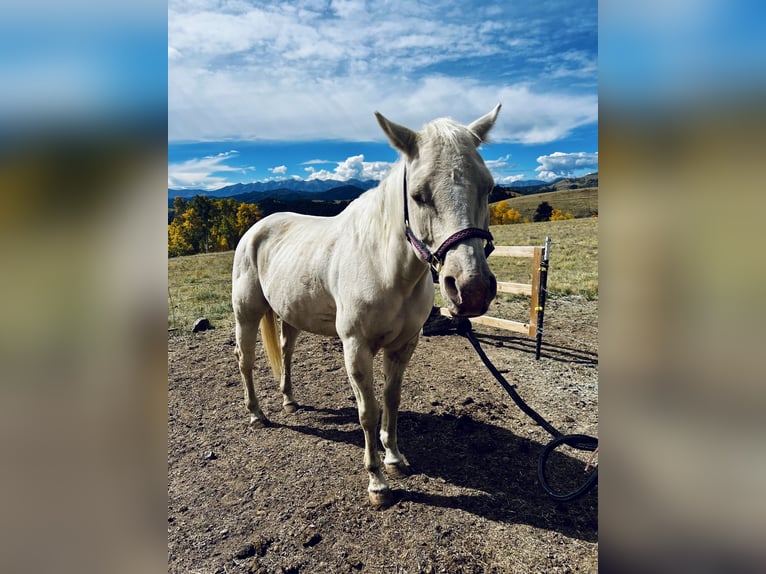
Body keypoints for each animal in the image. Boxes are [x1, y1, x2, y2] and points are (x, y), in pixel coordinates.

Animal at [231, 105, 501, 508]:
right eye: (419, 195)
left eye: (488, 187)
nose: (472, 289)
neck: (386, 266)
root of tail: (255, 229)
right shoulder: (356, 348)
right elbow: (368, 411)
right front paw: (377, 482)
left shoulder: (404, 345)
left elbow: (391, 399)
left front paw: (395, 458)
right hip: (246, 314)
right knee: (246, 360)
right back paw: (256, 414)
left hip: (290, 314)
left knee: (286, 351)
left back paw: (290, 400)